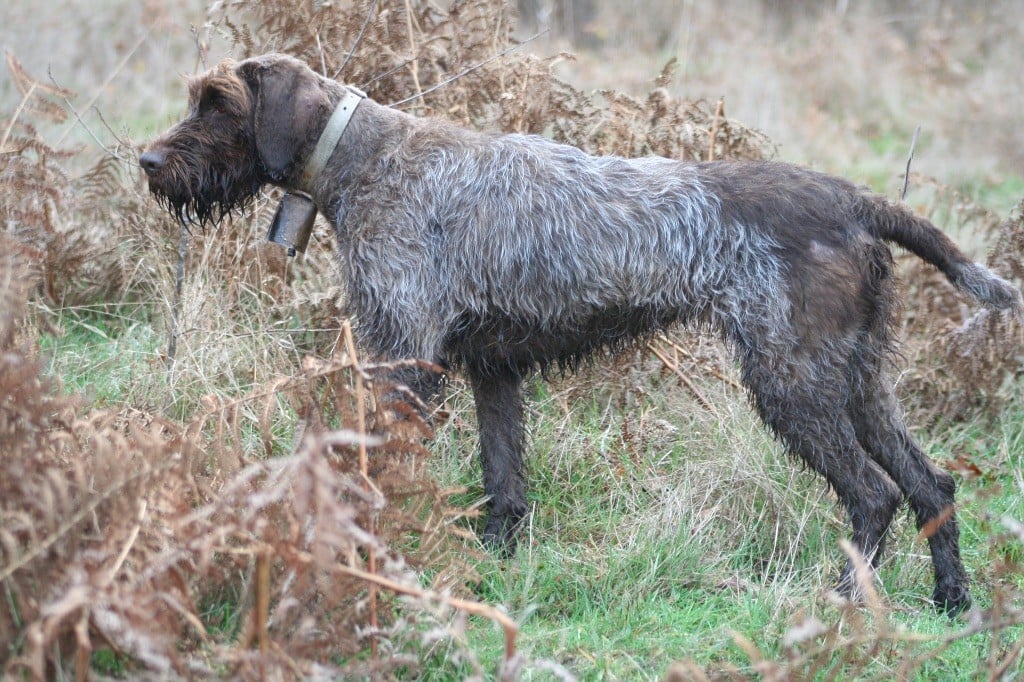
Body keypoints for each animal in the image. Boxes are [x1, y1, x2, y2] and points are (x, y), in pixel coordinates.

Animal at [140, 55, 1019, 614]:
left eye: (218, 104)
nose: (148, 161)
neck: (363, 158)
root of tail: (851, 201)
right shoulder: (489, 370)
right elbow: (503, 482)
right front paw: (490, 562)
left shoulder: (403, 356)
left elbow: (380, 466)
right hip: (857, 380)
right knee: (932, 485)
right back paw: (950, 601)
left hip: (793, 382)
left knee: (873, 495)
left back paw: (840, 602)